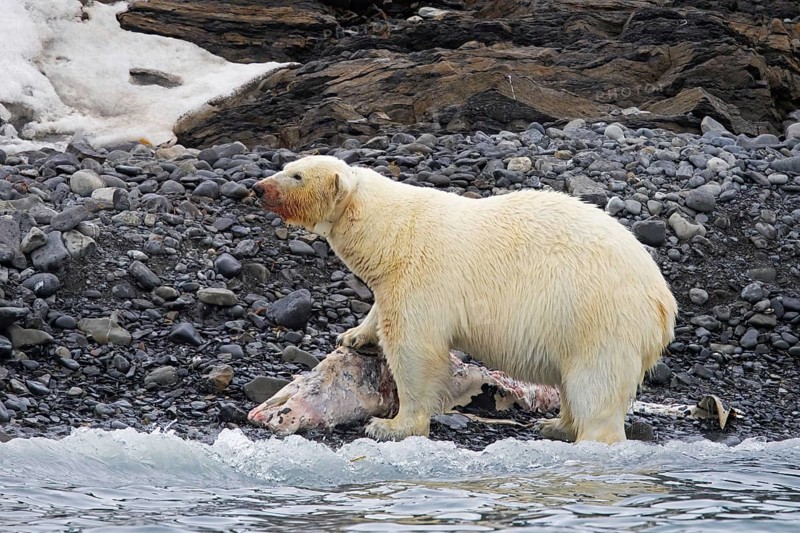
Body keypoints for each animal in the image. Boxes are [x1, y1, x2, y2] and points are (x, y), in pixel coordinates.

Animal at [252, 155, 677, 444]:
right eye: (287, 165)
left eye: (296, 175)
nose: (258, 187)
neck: (391, 234)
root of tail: (663, 303)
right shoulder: (394, 280)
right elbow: (380, 312)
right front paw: (353, 335)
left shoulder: (423, 276)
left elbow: (415, 350)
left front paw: (389, 426)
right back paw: (554, 424)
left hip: (600, 316)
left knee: (596, 384)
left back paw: (586, 438)